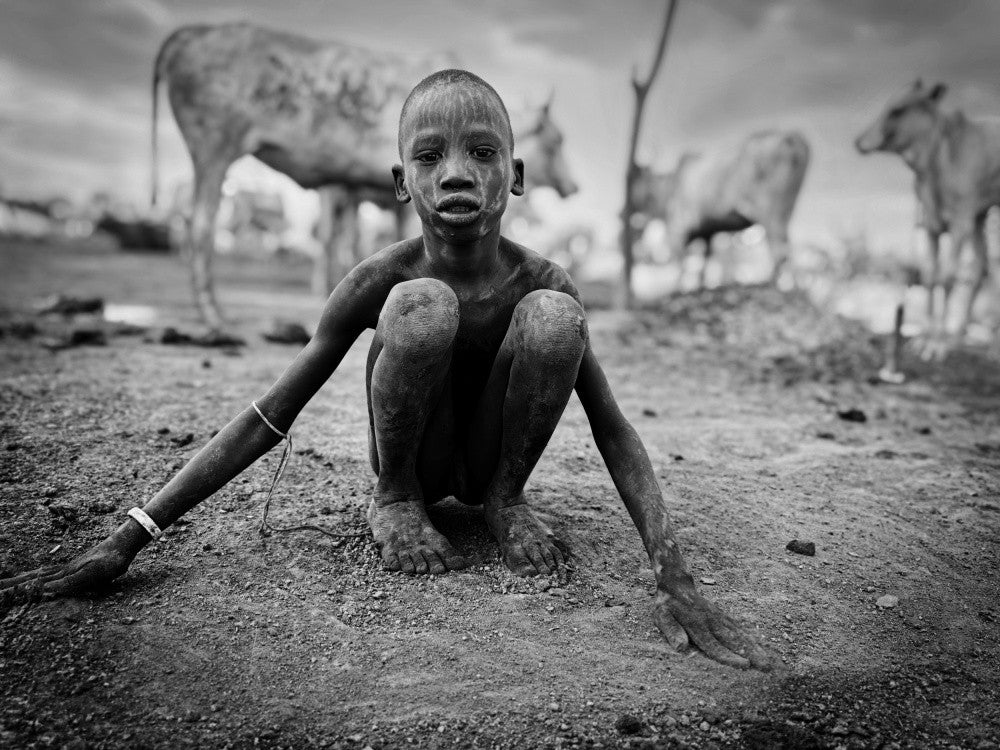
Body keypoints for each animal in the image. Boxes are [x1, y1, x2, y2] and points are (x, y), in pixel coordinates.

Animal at [152, 22, 578, 328]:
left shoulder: (357, 188)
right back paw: (214, 315)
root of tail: (191, 32)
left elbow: (353, 240)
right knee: (201, 224)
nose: (573, 186)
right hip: (213, 149)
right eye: (556, 140)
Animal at [631, 130, 810, 290]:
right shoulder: (707, 232)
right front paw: (699, 286)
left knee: (778, 249)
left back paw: (772, 283)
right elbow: (704, 263)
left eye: (636, 179)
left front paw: (678, 290)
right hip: (786, 210)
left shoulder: (678, 229)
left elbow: (680, 264)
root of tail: (792, 138)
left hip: (768, 210)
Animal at [856, 80, 1000, 356]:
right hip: (980, 217)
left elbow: (948, 279)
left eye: (897, 110)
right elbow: (931, 277)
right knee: (981, 266)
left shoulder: (961, 224)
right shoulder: (934, 226)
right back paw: (960, 335)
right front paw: (926, 339)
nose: (859, 142)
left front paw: (938, 344)